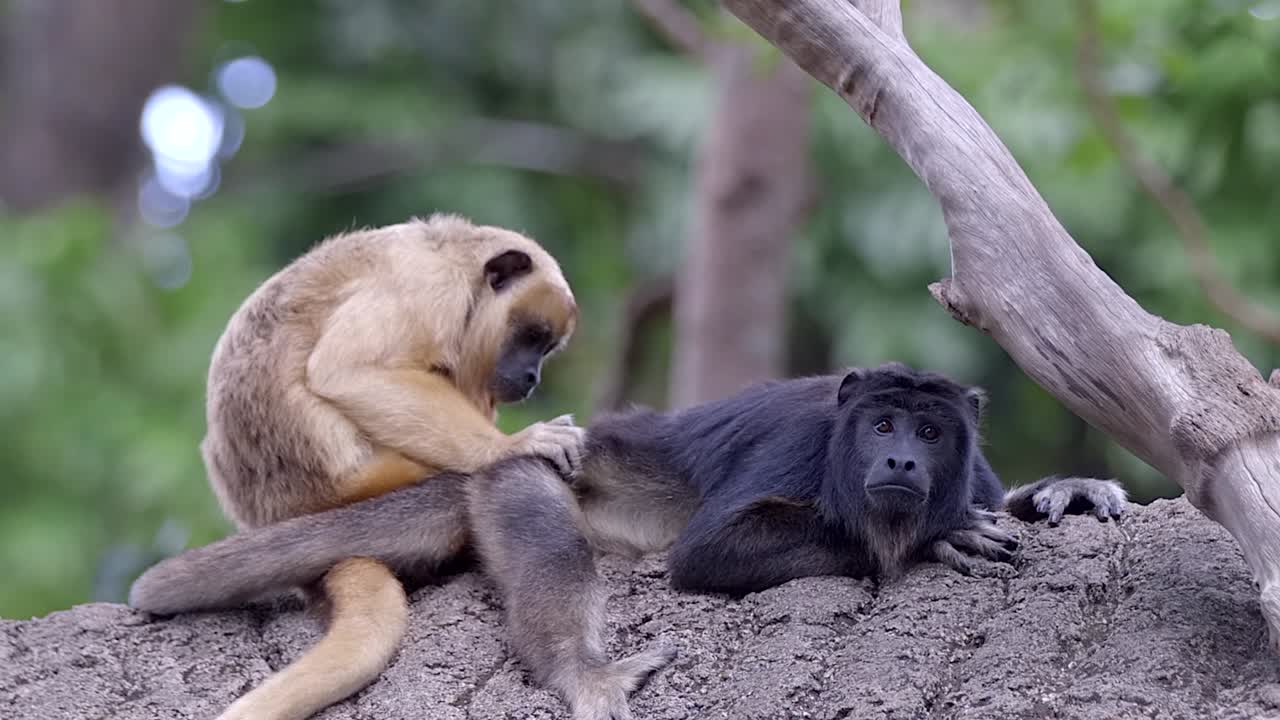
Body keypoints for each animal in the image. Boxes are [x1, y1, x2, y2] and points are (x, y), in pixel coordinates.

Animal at [130, 362, 1126, 719]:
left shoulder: (975, 466)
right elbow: (709, 554)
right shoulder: (807, 437)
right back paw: (582, 669)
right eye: (882, 422)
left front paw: (1068, 492)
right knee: (550, 531)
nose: (901, 460)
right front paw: (926, 543)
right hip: (516, 473)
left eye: (928, 431)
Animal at [155, 213, 592, 720]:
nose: (532, 377)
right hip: (360, 479)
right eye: (532, 337)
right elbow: (348, 373)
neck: (458, 259)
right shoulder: (427, 287)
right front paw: (512, 445)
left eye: (546, 348)